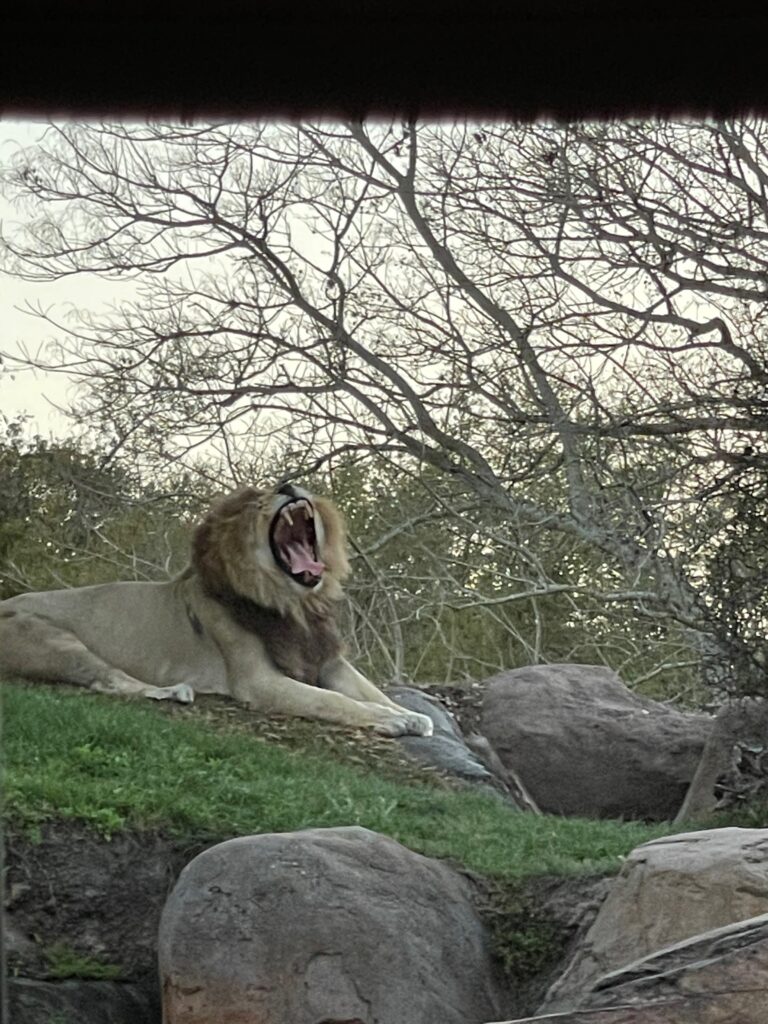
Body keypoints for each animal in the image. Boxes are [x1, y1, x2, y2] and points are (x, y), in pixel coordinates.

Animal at [0, 479, 434, 737]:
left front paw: (411, 715)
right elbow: (334, 701)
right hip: (55, 640)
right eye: (259, 502)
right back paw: (173, 691)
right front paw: (393, 720)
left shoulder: (328, 661)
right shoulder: (258, 681)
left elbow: (369, 691)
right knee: (109, 681)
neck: (294, 604)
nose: (289, 483)